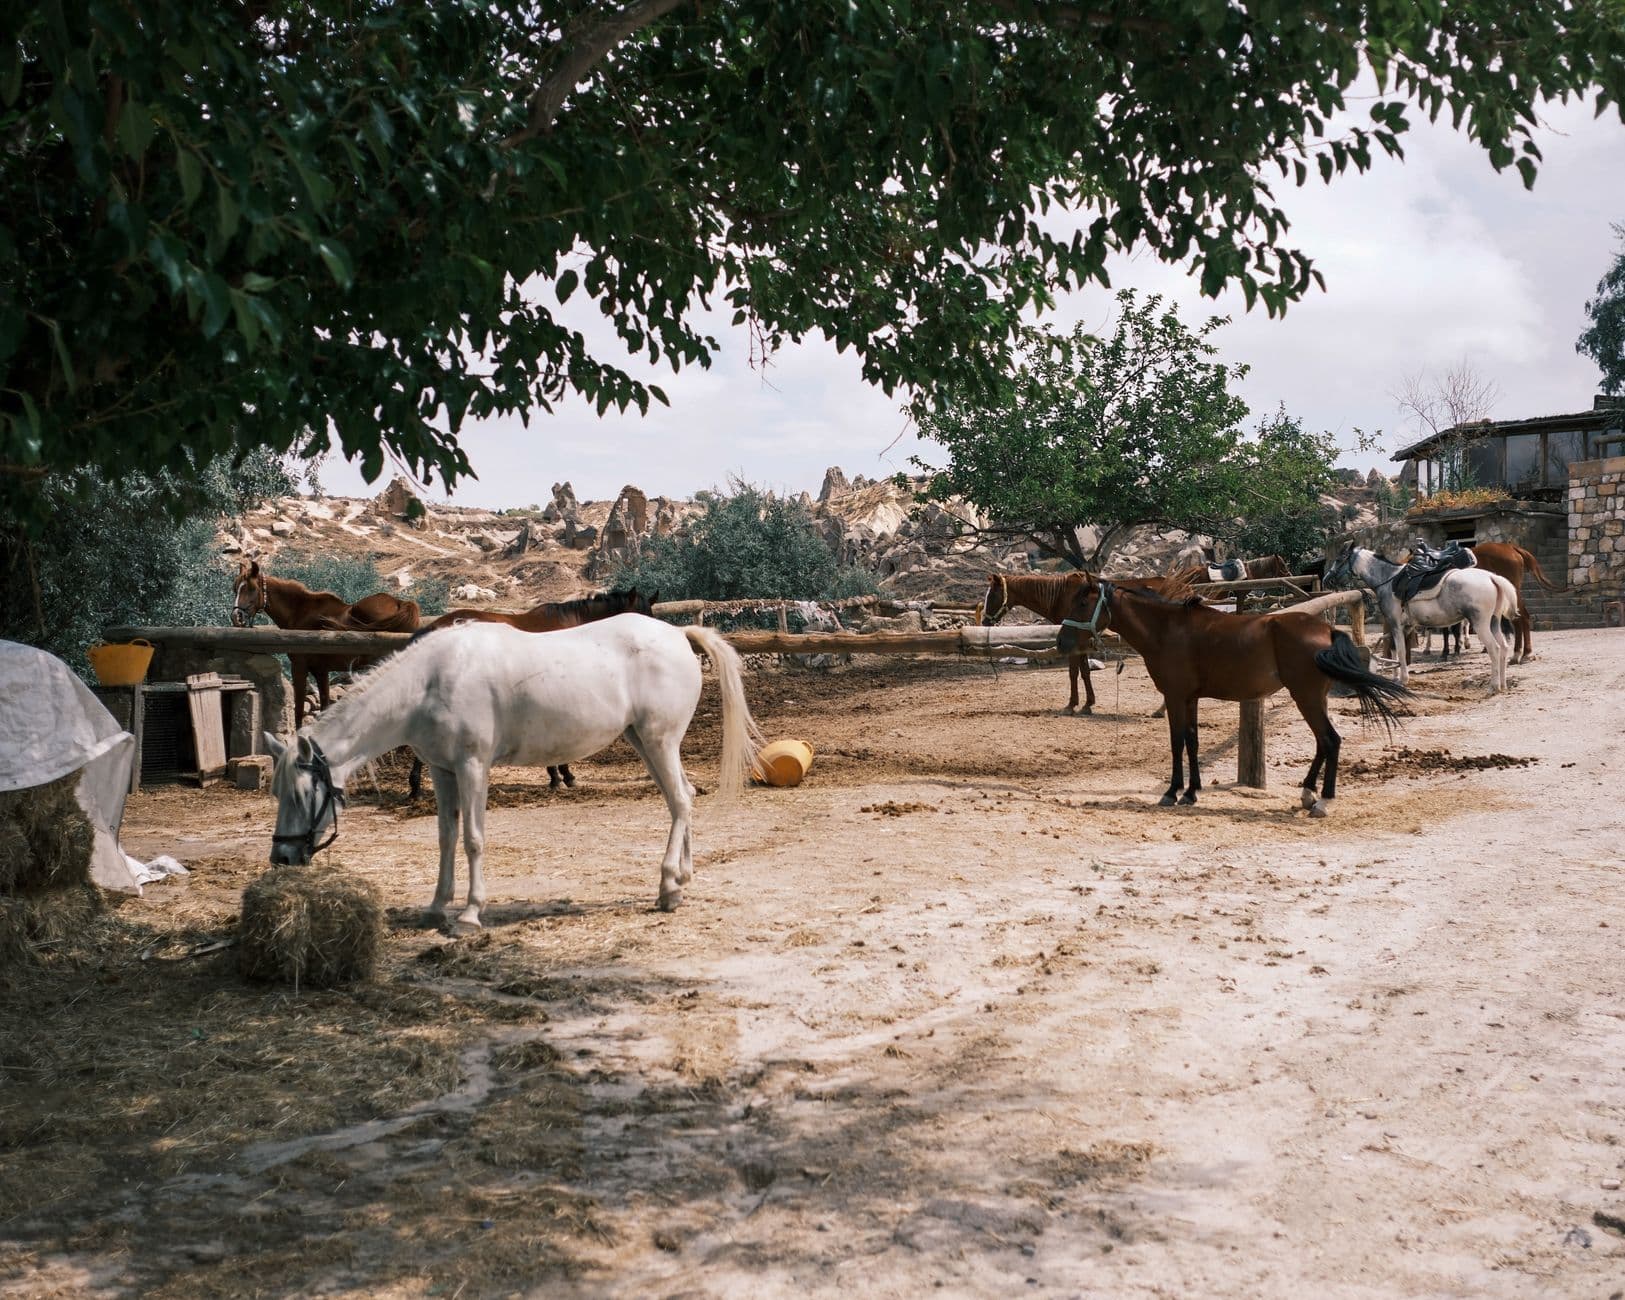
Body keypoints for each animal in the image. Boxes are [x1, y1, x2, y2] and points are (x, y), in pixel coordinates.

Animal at [232, 559, 420, 727]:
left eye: (251, 588)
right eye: (235, 589)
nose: (236, 617)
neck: (300, 612)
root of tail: (400, 603)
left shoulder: (300, 667)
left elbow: (299, 708)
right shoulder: (321, 671)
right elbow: (324, 705)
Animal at [264, 615, 762, 928]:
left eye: (302, 793)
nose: (282, 858)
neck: (430, 682)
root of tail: (678, 633)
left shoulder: (472, 767)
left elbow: (473, 839)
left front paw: (469, 914)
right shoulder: (443, 771)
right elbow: (446, 839)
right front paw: (436, 908)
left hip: (659, 741)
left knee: (679, 802)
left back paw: (668, 888)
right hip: (645, 742)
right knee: (684, 799)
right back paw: (681, 880)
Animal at [978, 570, 1192, 715]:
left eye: (993, 595)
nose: (985, 622)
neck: (1061, 594)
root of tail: (1185, 589)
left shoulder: (1074, 642)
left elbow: (1074, 672)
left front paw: (1072, 705)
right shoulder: (1079, 641)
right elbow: (1085, 671)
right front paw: (1088, 703)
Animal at [1056, 578, 1413, 816]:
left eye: (1083, 603)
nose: (1061, 642)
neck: (1167, 630)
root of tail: (1327, 630)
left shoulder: (1175, 696)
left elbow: (1176, 741)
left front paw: (1172, 792)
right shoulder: (1190, 698)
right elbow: (1192, 741)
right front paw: (1191, 792)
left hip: (1306, 697)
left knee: (1330, 740)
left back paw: (1322, 801)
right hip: (1315, 698)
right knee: (1323, 744)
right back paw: (1307, 794)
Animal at [1328, 544, 1519, 692]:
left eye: (1339, 559)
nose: (1327, 578)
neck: (1388, 579)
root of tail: (1492, 577)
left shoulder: (1395, 624)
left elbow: (1400, 651)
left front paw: (1403, 679)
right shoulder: (1404, 626)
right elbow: (1396, 651)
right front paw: (1396, 677)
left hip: (1481, 624)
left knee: (1494, 648)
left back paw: (1494, 686)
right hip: (1494, 622)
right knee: (1503, 647)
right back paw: (1503, 685)